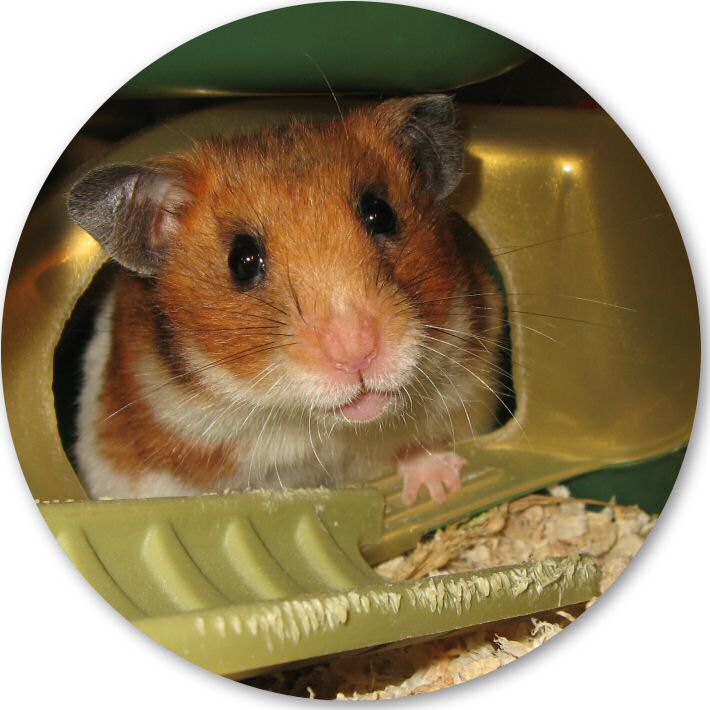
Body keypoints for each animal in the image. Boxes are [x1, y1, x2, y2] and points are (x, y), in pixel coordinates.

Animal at [67, 95, 505, 504]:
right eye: (242, 260)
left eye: (381, 215)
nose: (356, 355)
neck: (323, 428)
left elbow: (416, 446)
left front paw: (440, 486)